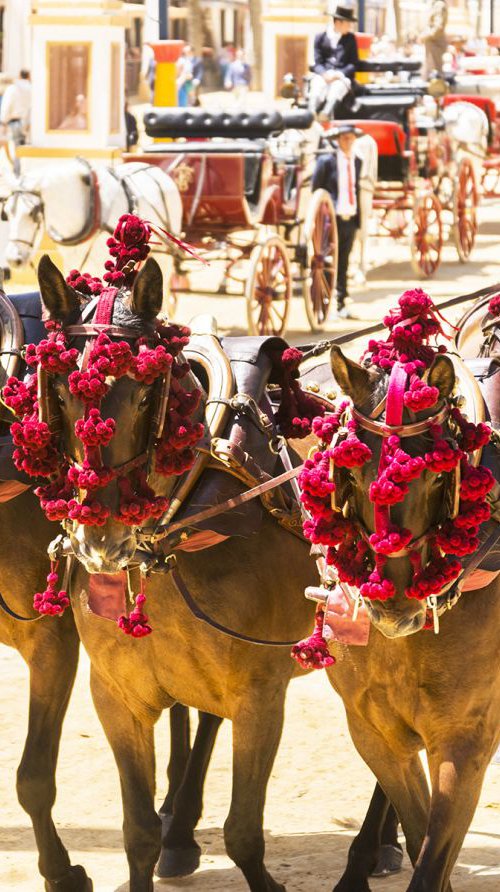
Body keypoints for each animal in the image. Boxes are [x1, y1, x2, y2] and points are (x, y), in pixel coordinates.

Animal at [2, 156, 182, 290]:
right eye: (7, 213)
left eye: (32, 214)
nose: (13, 259)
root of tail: (156, 170)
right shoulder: (72, 258)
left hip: (166, 251)